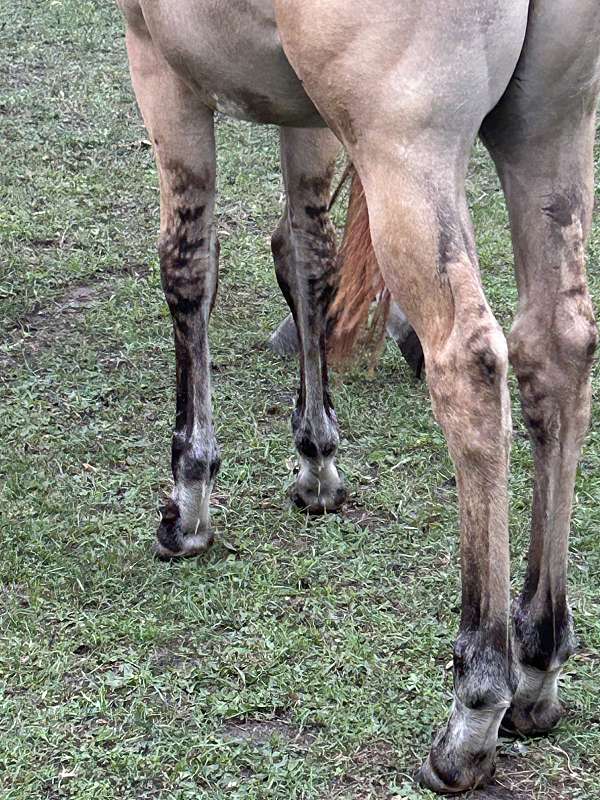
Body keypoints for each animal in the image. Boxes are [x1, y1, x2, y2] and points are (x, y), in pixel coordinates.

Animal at [116, 1, 600, 792]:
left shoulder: (161, 69)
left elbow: (188, 269)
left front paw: (188, 500)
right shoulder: (307, 113)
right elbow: (307, 256)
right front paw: (316, 460)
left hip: (406, 150)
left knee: (470, 364)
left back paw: (474, 711)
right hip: (550, 129)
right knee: (560, 347)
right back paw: (535, 668)